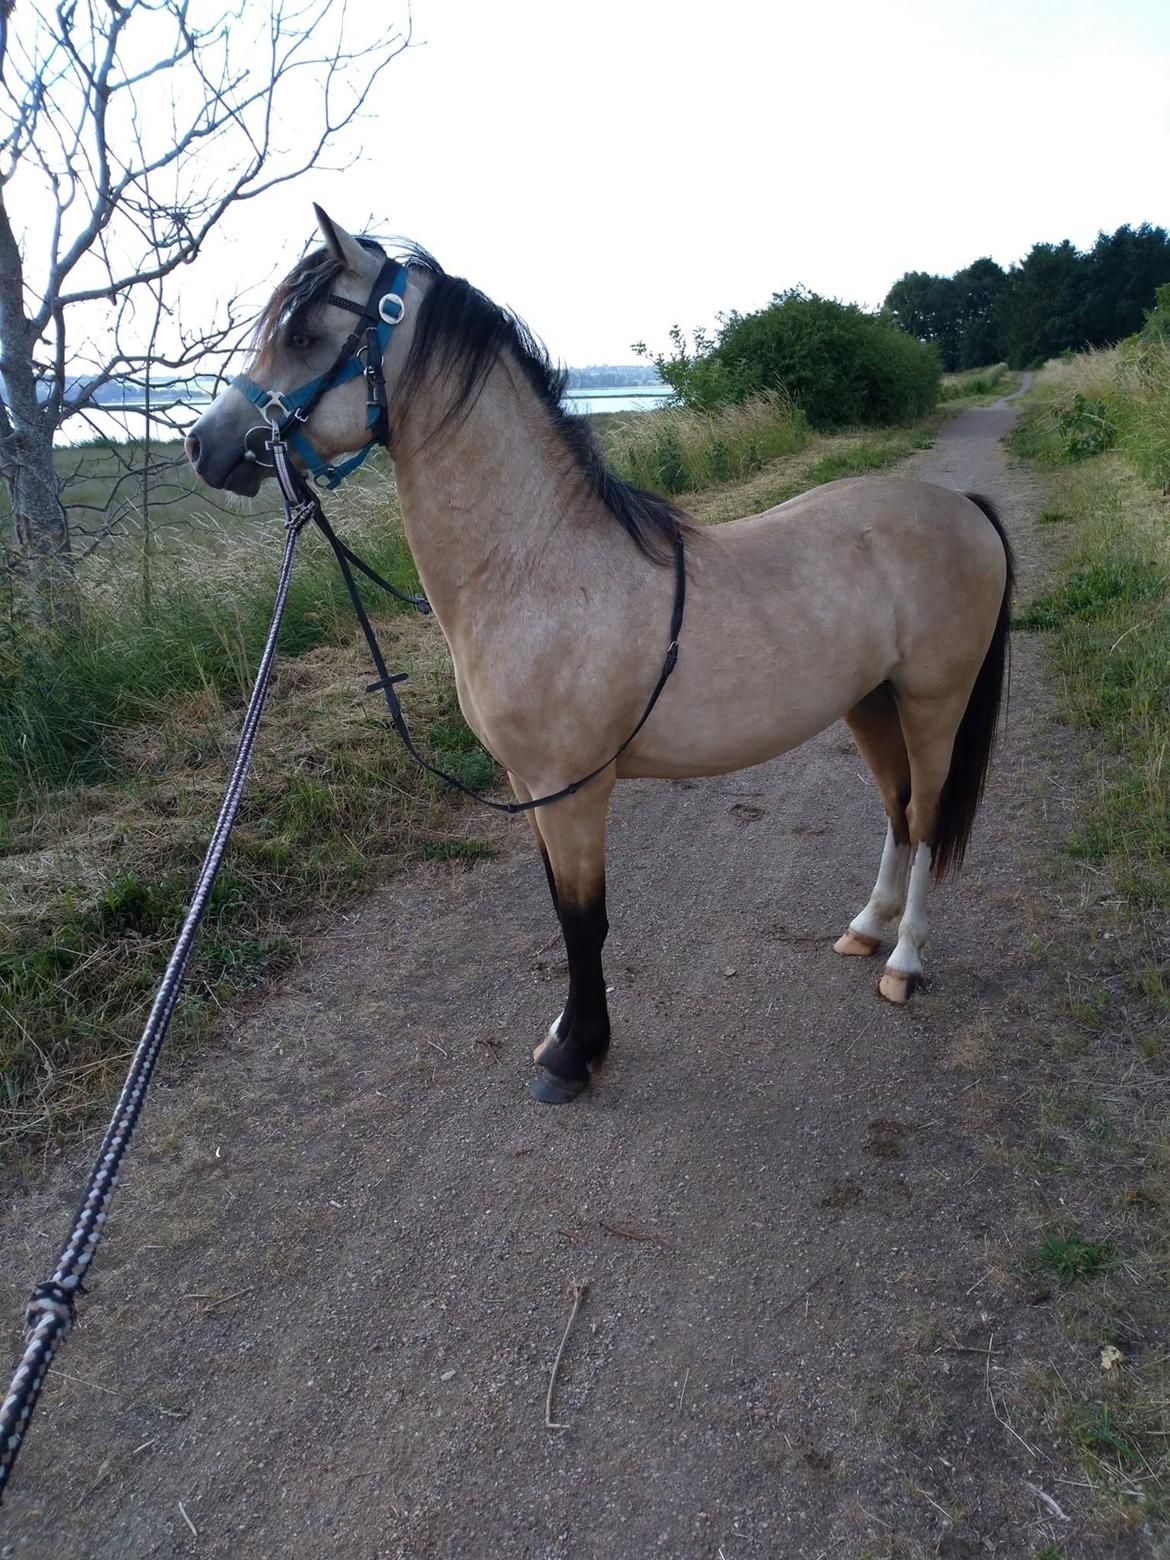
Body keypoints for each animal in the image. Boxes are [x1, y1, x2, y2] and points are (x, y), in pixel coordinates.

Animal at [186, 207, 1014, 1106]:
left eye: (305, 333)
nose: (203, 445)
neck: (536, 565)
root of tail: (961, 507)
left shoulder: (573, 790)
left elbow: (584, 920)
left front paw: (576, 1055)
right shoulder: (531, 789)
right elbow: (561, 909)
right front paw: (568, 1035)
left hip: (934, 701)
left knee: (926, 817)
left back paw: (904, 962)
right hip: (871, 702)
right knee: (896, 811)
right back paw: (865, 929)